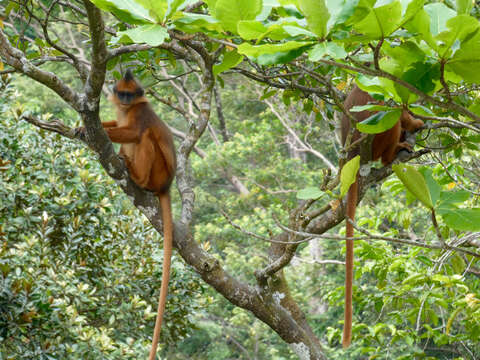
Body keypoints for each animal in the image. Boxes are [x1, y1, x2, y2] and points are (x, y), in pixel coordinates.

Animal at [78, 69, 177, 358]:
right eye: (121, 93)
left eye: (130, 95)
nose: (123, 100)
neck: (128, 109)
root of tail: (166, 186)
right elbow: (112, 124)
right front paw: (83, 127)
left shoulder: (140, 113)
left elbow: (133, 131)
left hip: (158, 172)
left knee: (143, 138)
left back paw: (136, 176)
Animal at [340, 86, 422, 348]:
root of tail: (353, 154)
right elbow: (398, 112)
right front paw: (416, 122)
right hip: (375, 143)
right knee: (391, 119)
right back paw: (392, 154)